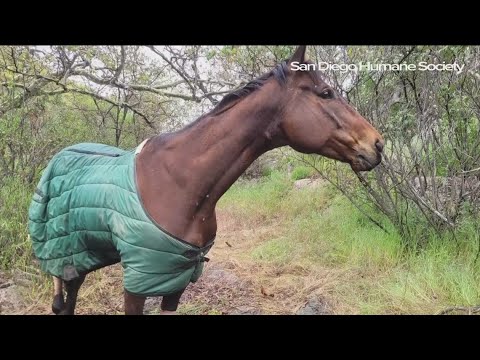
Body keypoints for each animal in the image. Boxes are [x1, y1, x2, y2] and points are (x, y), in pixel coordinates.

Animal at [50, 45, 384, 316]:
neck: (179, 183)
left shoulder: (177, 279)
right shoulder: (138, 282)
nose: (378, 144)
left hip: (84, 254)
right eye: (325, 92)